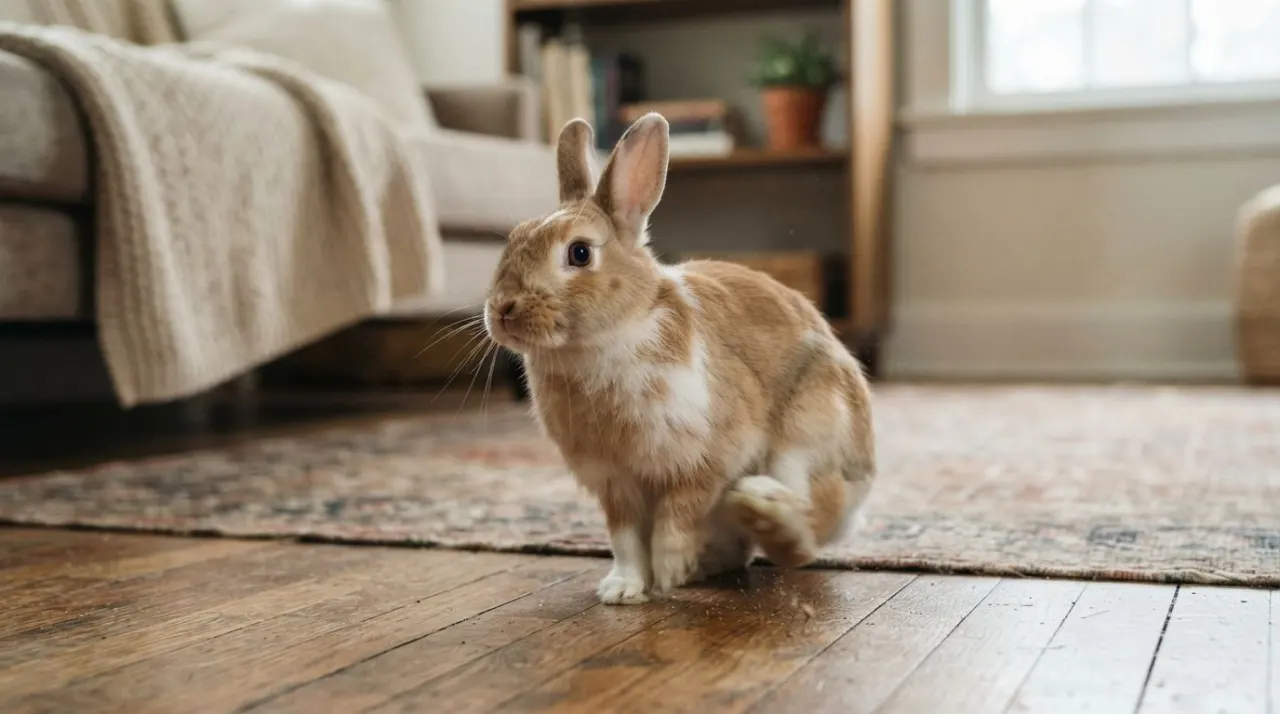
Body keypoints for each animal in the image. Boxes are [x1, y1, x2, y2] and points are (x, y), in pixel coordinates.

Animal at [483, 112, 876, 605]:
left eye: (579, 252)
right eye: (513, 239)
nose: (502, 309)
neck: (609, 338)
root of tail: (865, 473)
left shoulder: (705, 459)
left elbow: (677, 516)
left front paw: (669, 571)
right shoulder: (614, 483)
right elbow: (626, 538)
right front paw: (622, 589)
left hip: (804, 437)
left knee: (808, 529)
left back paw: (762, 509)